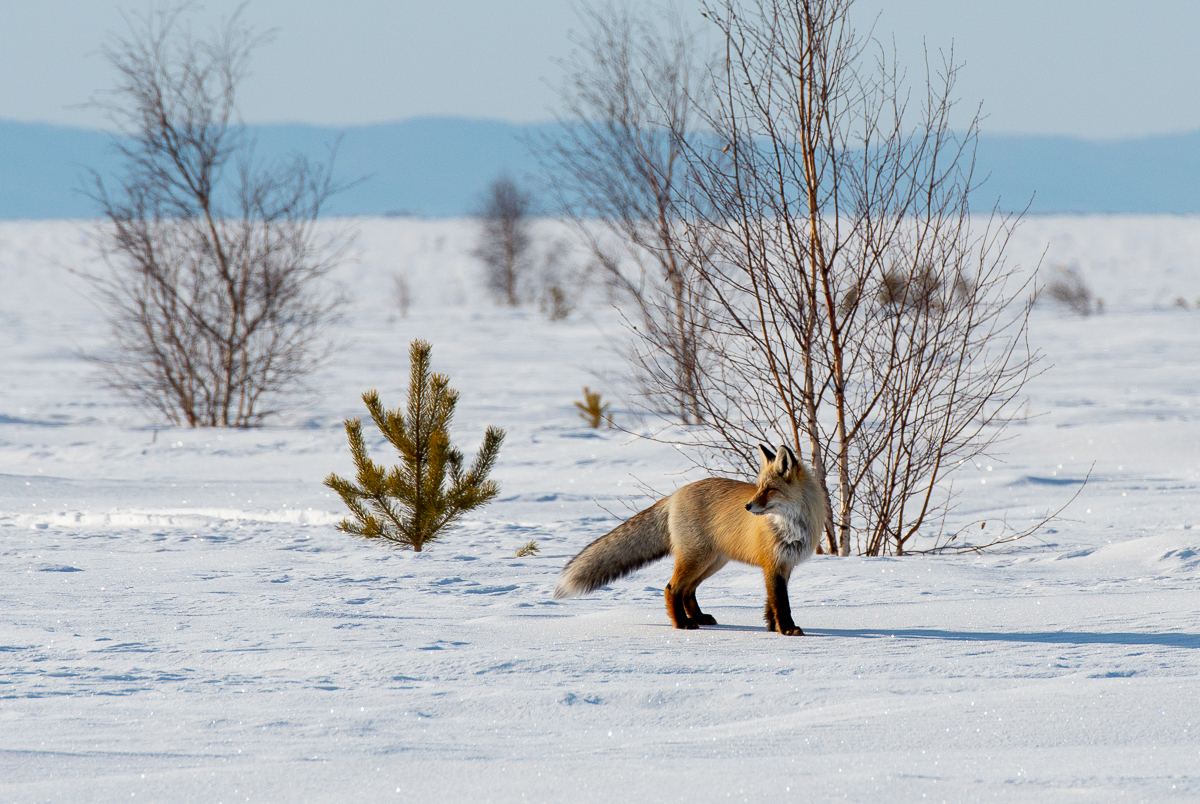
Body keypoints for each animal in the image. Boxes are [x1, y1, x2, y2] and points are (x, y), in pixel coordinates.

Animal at [552, 446, 825, 638]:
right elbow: (781, 602)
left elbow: (772, 601)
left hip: (712, 562)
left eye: (769, 489)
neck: (791, 526)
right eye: (758, 487)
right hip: (697, 559)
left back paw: (699, 617)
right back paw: (682, 623)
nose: (747, 506)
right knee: (672, 588)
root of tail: (675, 494)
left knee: (688, 591)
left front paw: (771, 626)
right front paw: (787, 630)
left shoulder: (783, 565)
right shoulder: (773, 563)